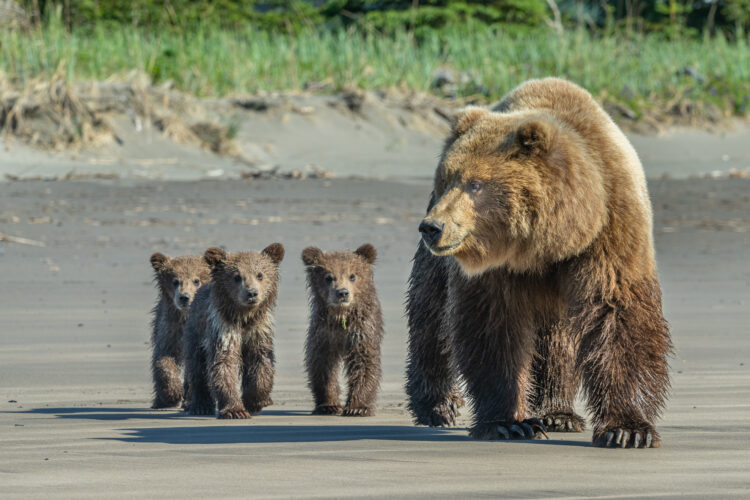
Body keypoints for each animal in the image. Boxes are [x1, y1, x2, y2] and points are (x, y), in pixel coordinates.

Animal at [408, 78, 672, 450]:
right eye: (446, 180)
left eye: (476, 184)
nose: (432, 227)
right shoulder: (495, 268)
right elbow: (493, 326)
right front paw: (509, 422)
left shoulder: (610, 230)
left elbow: (617, 313)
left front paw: (628, 429)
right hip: (438, 265)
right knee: (431, 316)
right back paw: (437, 404)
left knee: (557, 340)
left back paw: (557, 412)